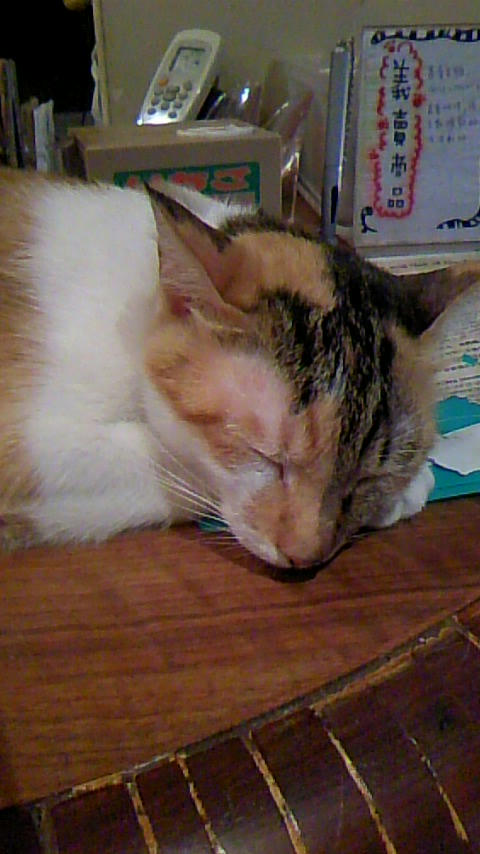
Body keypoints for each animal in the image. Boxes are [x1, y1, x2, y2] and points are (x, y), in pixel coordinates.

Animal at [0, 166, 477, 567]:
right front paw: (413, 488)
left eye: (366, 477)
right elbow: (178, 467)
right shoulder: (32, 446)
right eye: (265, 456)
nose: (305, 558)